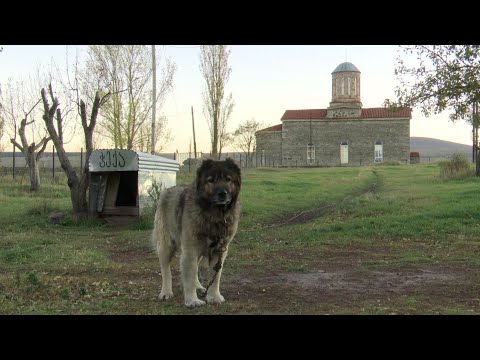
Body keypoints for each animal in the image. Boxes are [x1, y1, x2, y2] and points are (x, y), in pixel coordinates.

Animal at [151, 158, 240, 306]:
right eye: (211, 180)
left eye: (228, 179)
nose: (222, 193)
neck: (214, 215)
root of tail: (167, 190)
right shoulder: (190, 249)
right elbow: (189, 274)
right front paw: (192, 300)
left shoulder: (219, 251)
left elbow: (215, 276)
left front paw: (213, 296)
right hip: (166, 245)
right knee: (166, 270)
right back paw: (166, 292)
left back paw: (198, 287)